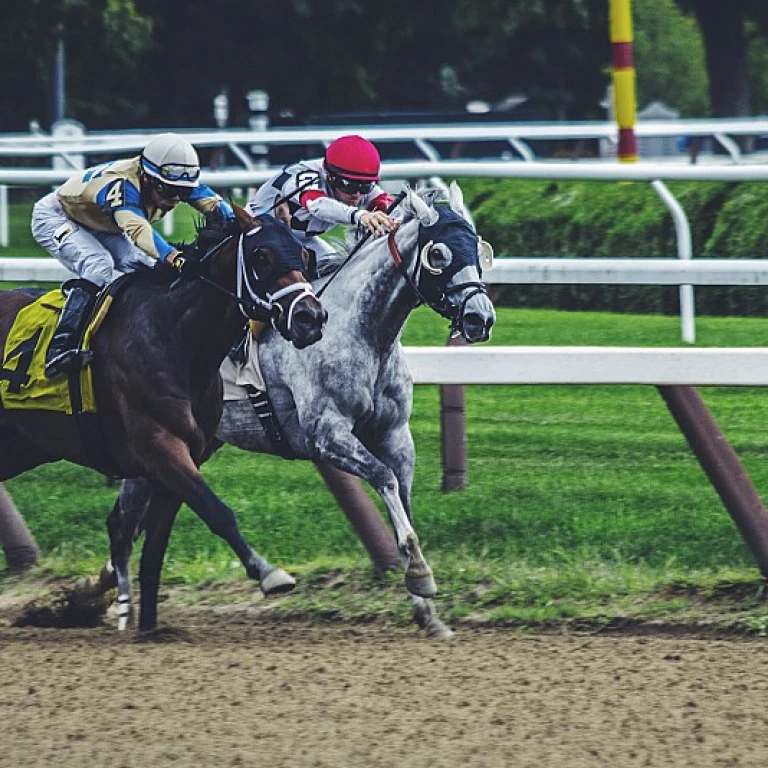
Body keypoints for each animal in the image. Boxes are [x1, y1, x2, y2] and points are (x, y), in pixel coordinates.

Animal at [0, 204, 328, 632]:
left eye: (305, 256)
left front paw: (149, 627)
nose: (311, 318)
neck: (176, 336)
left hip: (18, 448)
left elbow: (155, 546)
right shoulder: (161, 446)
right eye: (261, 257)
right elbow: (217, 512)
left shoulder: (184, 456)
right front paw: (269, 573)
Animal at [105, 184, 496, 636]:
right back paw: (119, 608)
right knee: (122, 525)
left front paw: (427, 610)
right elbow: (383, 478)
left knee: (133, 521)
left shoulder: (395, 433)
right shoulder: (327, 434)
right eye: (439, 255)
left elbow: (403, 496)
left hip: (191, 449)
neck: (360, 329)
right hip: (153, 442)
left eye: (480, 248)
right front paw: (419, 574)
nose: (480, 318)